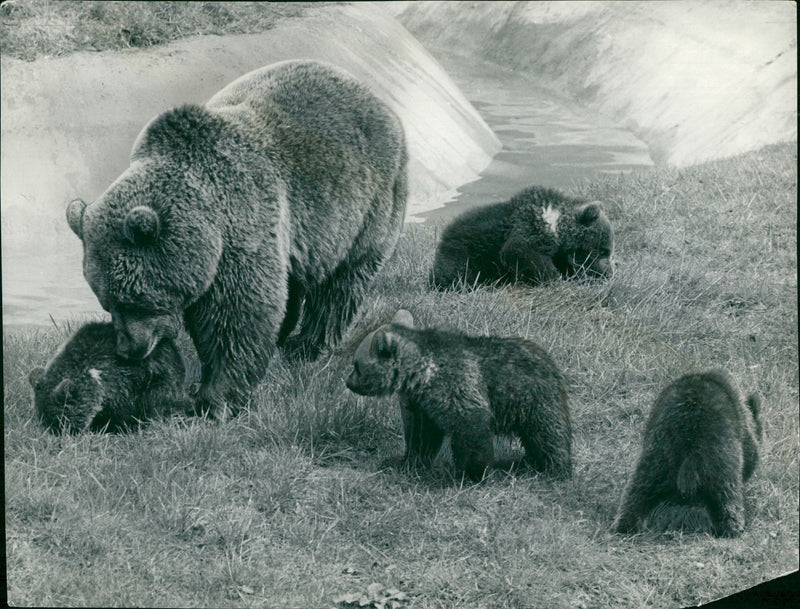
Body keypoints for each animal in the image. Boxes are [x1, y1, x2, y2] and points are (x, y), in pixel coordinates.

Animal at [65, 60, 408, 418]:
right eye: (106, 302)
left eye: (135, 299)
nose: (127, 349)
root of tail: (372, 95)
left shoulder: (241, 229)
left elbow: (237, 318)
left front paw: (216, 399)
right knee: (294, 282)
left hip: (367, 205)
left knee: (340, 285)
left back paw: (307, 345)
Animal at [345, 310, 572, 481]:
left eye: (356, 365)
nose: (348, 382)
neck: (419, 376)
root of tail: (550, 361)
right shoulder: (422, 405)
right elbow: (421, 436)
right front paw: (407, 462)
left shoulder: (457, 385)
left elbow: (471, 424)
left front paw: (473, 472)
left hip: (533, 399)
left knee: (547, 434)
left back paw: (554, 467)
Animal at [430, 185, 614, 289]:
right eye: (603, 251)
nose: (608, 274)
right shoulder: (531, 228)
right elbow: (521, 252)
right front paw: (556, 279)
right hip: (466, 252)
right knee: (457, 272)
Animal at [613, 370, 763, 537]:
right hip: (720, 453)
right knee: (727, 492)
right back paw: (733, 526)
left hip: (658, 452)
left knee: (638, 487)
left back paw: (624, 523)